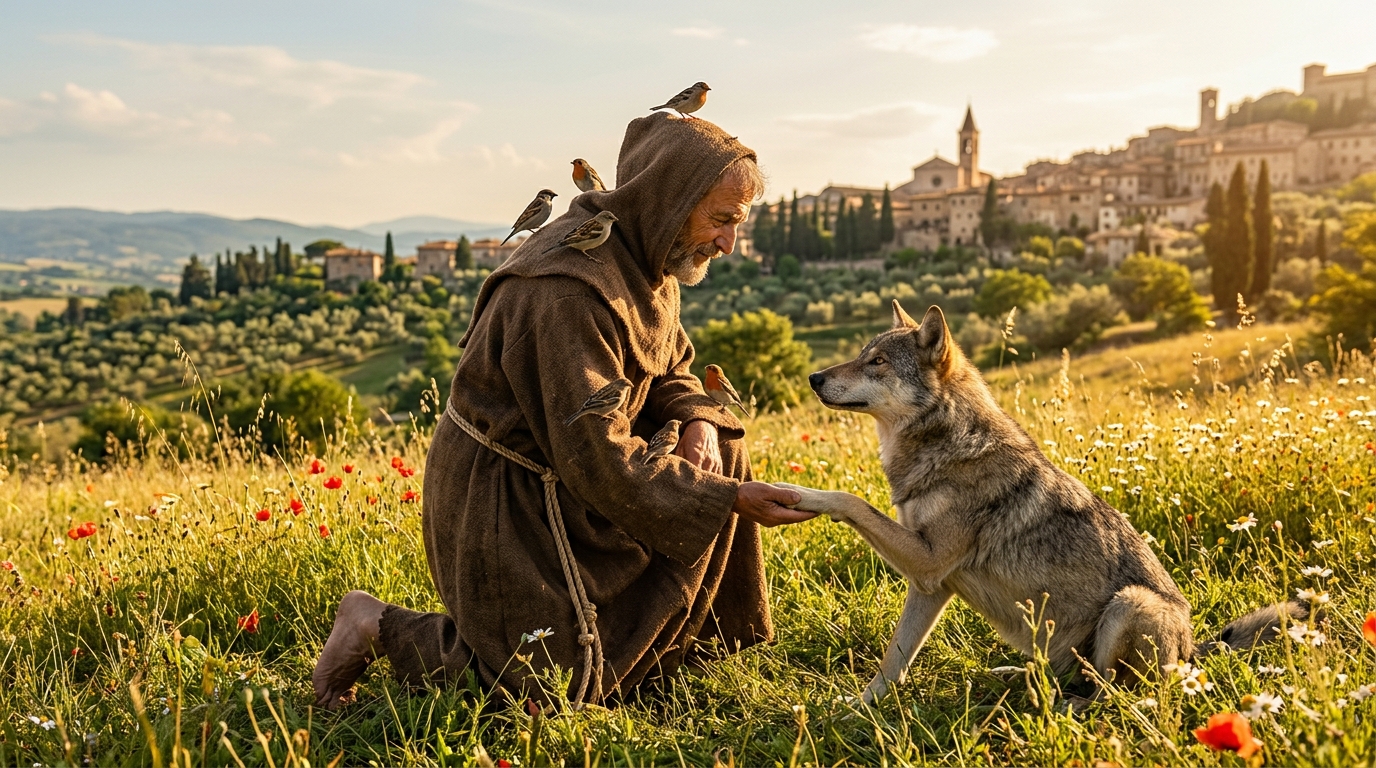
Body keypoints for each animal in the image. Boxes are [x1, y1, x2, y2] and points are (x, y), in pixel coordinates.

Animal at [778, 301, 1306, 705]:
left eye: (878, 362)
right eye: (861, 355)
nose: (814, 377)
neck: (943, 446)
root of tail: (1192, 653)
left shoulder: (928, 562)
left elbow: (850, 499)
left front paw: (800, 494)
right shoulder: (931, 584)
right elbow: (895, 657)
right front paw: (862, 705)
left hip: (1129, 605)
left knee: (1113, 693)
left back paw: (1069, 704)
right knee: (1069, 675)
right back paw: (1017, 677)